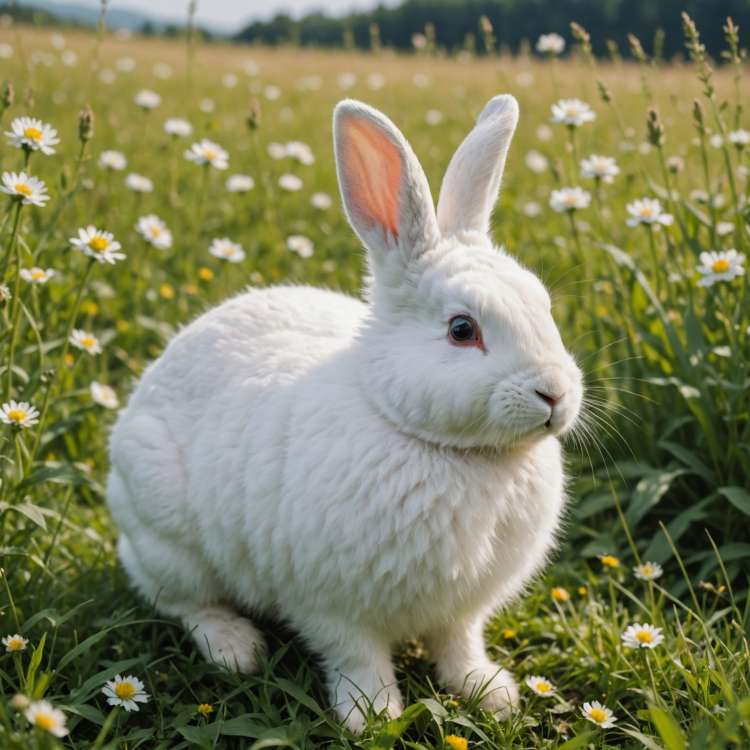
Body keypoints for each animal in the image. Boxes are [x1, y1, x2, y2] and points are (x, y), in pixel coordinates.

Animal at [107, 93, 583, 732]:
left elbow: (459, 645)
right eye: (463, 330)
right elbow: (355, 656)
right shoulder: (329, 604)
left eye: (544, 305)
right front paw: (372, 715)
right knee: (181, 599)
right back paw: (235, 647)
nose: (554, 394)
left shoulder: (463, 610)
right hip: (170, 540)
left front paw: (491, 693)